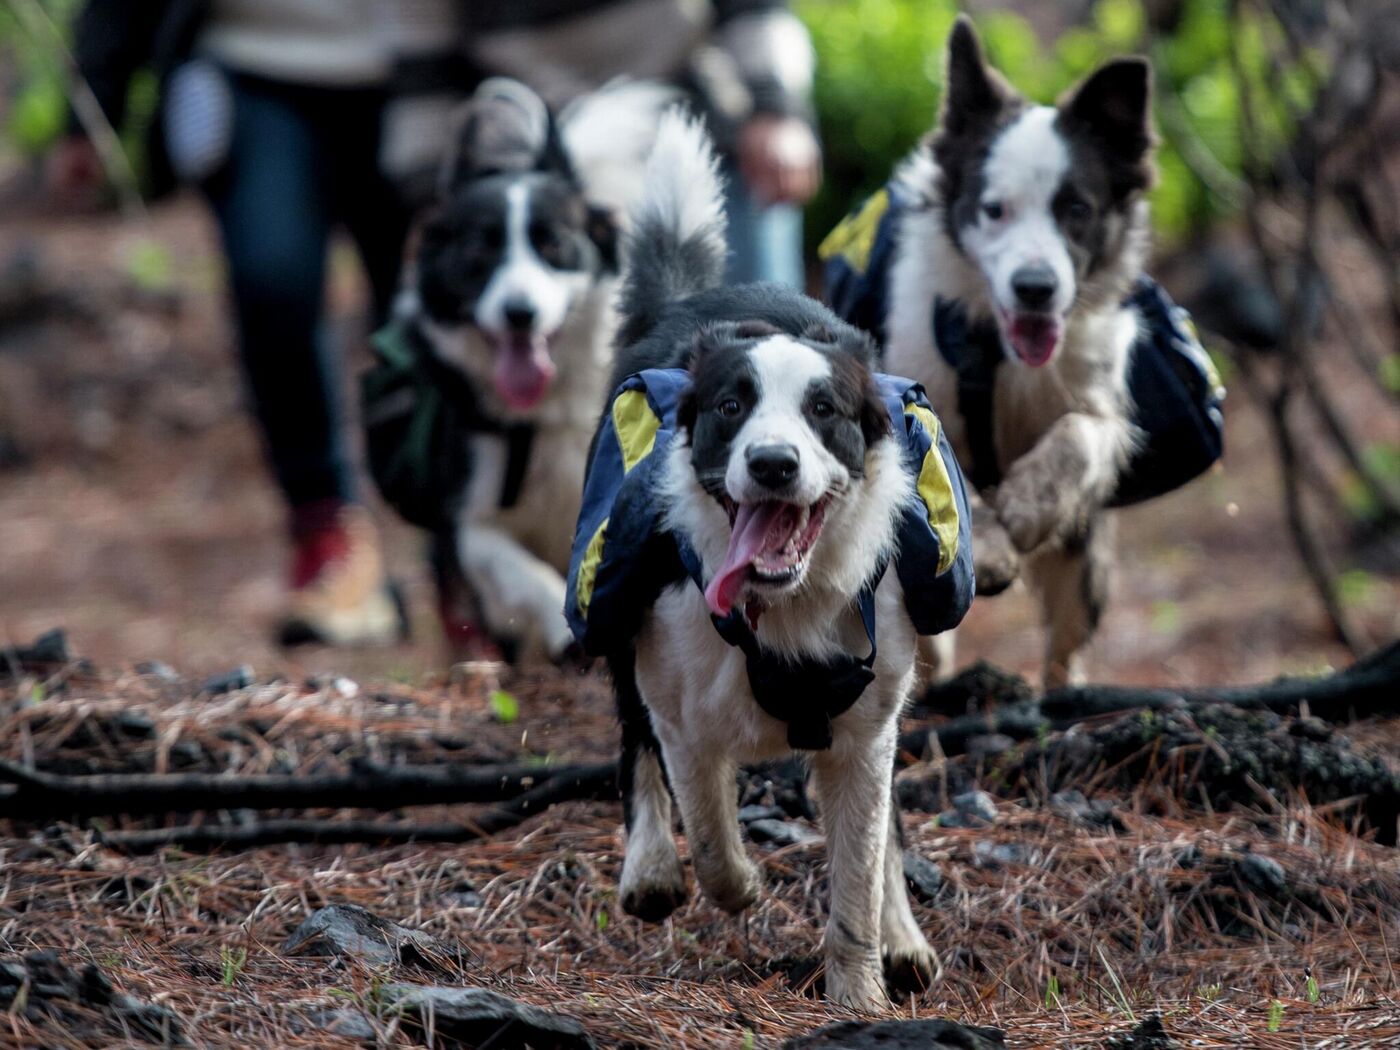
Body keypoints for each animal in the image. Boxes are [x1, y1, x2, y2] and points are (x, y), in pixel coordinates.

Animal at [568, 113, 974, 1013]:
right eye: (731, 407)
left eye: (824, 410)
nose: (774, 464)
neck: (782, 605)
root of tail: (691, 302)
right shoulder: (680, 708)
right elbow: (710, 828)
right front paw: (736, 883)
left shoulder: (866, 732)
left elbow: (860, 864)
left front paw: (862, 994)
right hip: (614, 602)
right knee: (633, 741)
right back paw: (652, 869)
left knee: (887, 829)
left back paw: (903, 937)